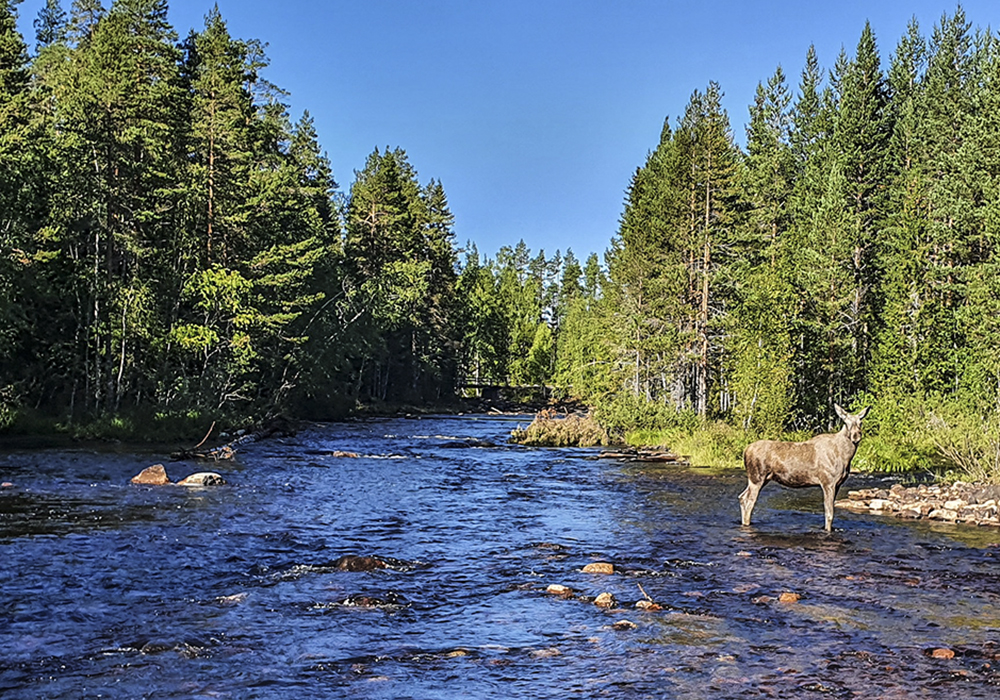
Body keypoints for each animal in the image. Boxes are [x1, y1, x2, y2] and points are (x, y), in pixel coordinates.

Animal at [740, 404, 872, 532]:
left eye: (860, 422)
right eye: (846, 422)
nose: (856, 436)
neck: (846, 456)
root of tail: (745, 450)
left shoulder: (838, 484)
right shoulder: (828, 482)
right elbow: (829, 514)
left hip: (762, 479)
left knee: (742, 497)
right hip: (757, 477)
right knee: (748, 501)